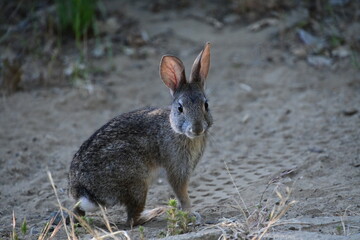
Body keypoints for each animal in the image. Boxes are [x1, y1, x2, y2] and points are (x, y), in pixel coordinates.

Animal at [69, 42, 212, 225]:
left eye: (206, 105)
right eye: (180, 108)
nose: (197, 128)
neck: (176, 130)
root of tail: (83, 190)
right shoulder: (176, 169)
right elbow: (182, 194)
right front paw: (191, 214)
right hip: (137, 182)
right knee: (132, 219)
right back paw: (155, 212)